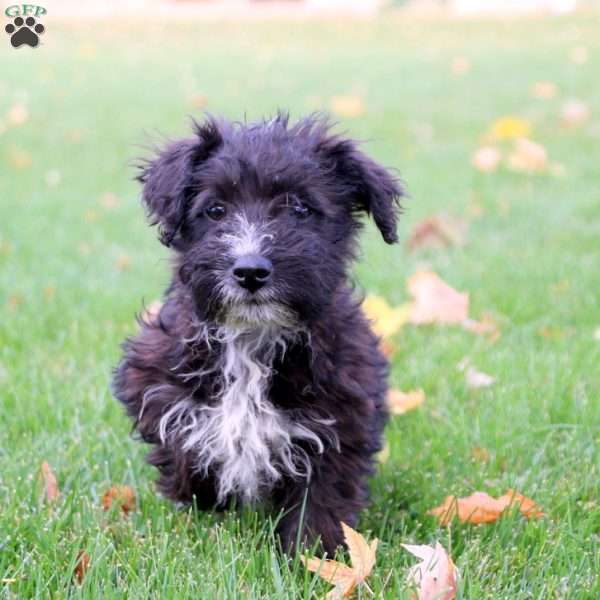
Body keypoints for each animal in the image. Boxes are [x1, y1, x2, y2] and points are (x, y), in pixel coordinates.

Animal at [112, 112, 404, 552]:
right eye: (215, 210)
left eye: (300, 208)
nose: (250, 270)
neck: (252, 337)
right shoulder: (155, 384)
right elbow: (184, 454)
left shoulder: (343, 417)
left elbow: (322, 497)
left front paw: (312, 555)